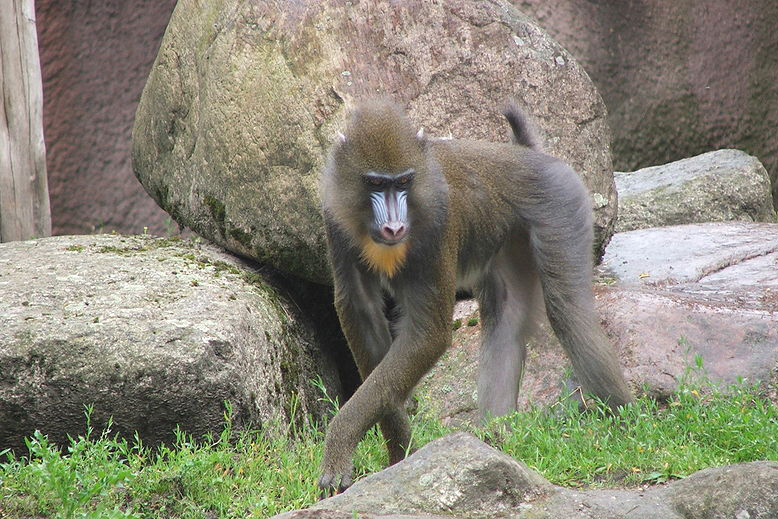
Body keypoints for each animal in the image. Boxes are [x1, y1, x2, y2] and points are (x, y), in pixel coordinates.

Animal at [318, 99, 632, 493]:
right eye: (375, 183)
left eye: (403, 182)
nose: (394, 227)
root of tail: (530, 155)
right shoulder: (335, 221)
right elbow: (363, 322)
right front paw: (400, 454)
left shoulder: (439, 229)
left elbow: (427, 334)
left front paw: (339, 445)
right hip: (508, 243)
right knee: (507, 322)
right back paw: (494, 440)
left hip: (561, 208)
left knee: (570, 314)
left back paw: (626, 423)